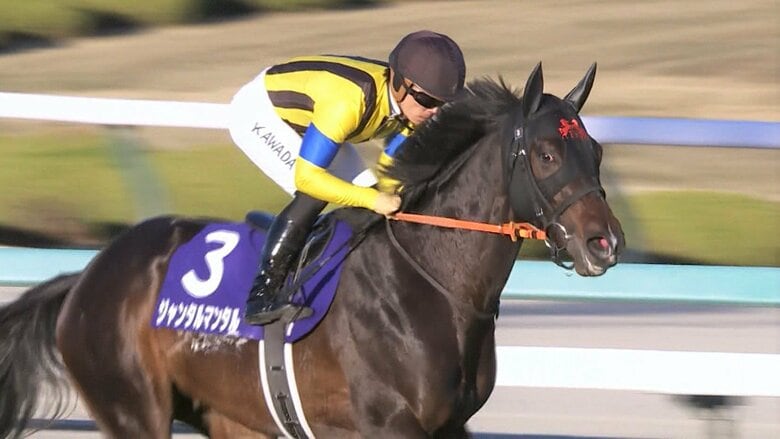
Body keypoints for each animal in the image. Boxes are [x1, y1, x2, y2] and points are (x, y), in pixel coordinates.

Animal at [0, 62, 624, 438]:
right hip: (133, 410)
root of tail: (84, 278)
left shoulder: (452, 424)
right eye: (545, 154)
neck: (430, 283)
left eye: (594, 150)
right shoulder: (389, 424)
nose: (606, 243)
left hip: (228, 417)